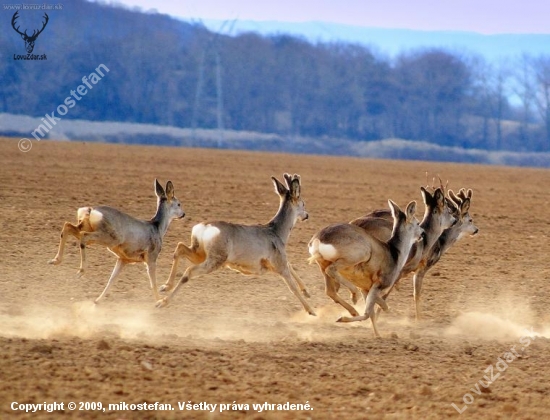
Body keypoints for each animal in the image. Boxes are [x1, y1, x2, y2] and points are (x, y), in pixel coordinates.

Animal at [48, 179, 185, 304]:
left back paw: (55, 260)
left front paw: (97, 301)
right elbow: (153, 282)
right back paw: (80, 271)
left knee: (68, 226)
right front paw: (159, 300)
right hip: (108, 237)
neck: (157, 228)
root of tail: (91, 210)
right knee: (83, 236)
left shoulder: (123, 259)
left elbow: (111, 279)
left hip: (87, 227)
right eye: (178, 204)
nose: (183, 214)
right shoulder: (151, 257)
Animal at [157, 173, 316, 316]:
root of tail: (204, 228)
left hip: (200, 252)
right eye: (303, 203)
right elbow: (292, 287)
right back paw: (162, 302)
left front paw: (307, 292)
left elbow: (291, 267)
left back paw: (165, 286)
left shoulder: (279, 262)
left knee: (180, 248)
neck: (277, 232)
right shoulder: (279, 263)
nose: (307, 215)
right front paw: (311, 310)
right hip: (215, 259)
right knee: (188, 271)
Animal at [308, 201, 424, 338]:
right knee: (332, 271)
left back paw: (353, 310)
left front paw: (378, 335)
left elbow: (375, 310)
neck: (395, 253)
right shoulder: (378, 284)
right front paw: (342, 319)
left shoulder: (365, 287)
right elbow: (368, 313)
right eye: (417, 222)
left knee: (330, 290)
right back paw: (353, 298)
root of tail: (318, 240)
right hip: (358, 255)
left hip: (322, 264)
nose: (423, 233)